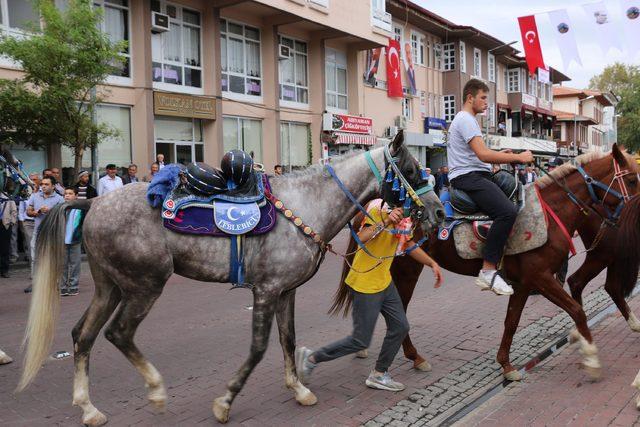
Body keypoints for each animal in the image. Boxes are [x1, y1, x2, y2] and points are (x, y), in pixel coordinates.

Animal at [16, 133, 444, 424]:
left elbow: (289, 341)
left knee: (83, 336)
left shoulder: (285, 292)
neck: (307, 205)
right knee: (118, 333)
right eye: (410, 170)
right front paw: (225, 402)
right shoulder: (266, 291)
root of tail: (94, 201)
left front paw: (299, 388)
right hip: (144, 286)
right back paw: (155, 391)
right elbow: (258, 348)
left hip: (110, 286)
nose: (439, 213)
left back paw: (89, 408)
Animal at [332, 146, 636, 382]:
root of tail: (373, 207)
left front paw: (506, 365)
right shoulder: (541, 278)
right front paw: (592, 359)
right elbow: (577, 310)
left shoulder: (524, 283)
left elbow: (511, 322)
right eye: (632, 179)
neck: (551, 212)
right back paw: (413, 356)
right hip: (407, 270)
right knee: (397, 311)